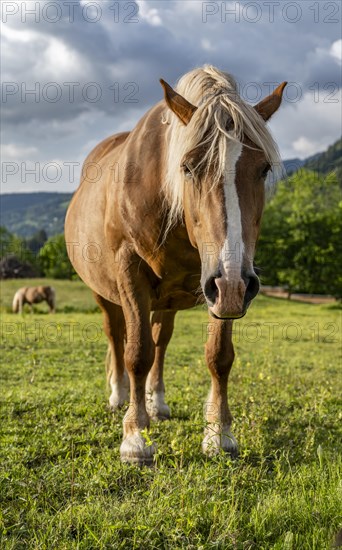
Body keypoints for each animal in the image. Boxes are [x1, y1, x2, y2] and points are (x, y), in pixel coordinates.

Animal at [65, 67, 288, 468]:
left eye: (263, 169)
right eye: (187, 167)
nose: (236, 282)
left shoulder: (223, 285)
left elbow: (218, 356)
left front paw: (219, 435)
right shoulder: (133, 273)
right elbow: (136, 354)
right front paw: (135, 439)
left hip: (171, 300)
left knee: (161, 340)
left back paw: (157, 402)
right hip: (106, 294)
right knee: (116, 336)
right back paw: (119, 395)